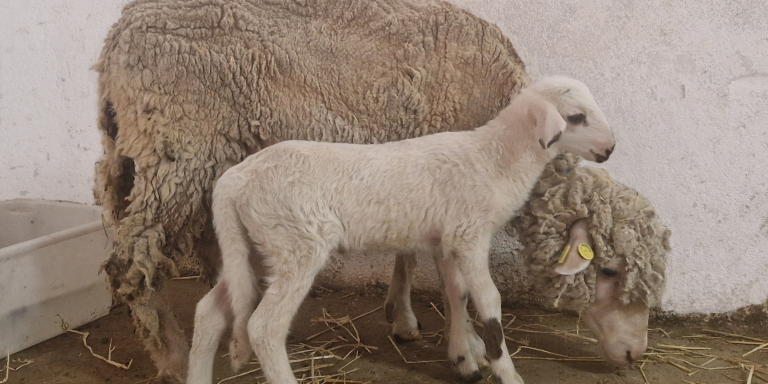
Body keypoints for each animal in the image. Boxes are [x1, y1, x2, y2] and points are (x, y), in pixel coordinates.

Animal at [93, 0, 532, 380]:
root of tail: (118, 33)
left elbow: (407, 253)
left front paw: (403, 317)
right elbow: (452, 279)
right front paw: (467, 347)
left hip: (150, 159)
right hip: (180, 150)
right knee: (132, 262)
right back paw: (171, 356)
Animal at [189, 76, 616, 384]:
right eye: (576, 117)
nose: (610, 149)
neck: (494, 158)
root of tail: (234, 181)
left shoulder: (446, 239)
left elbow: (456, 294)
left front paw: (464, 357)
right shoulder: (470, 234)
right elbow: (489, 302)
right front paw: (505, 371)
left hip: (254, 246)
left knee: (209, 311)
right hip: (296, 242)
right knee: (264, 327)